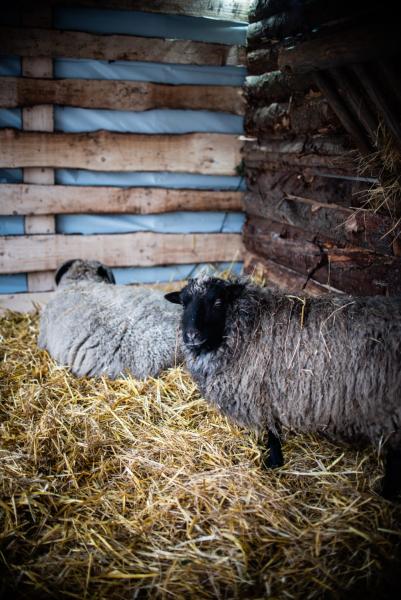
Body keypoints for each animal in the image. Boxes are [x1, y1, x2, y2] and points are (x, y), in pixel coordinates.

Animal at [165, 276, 400, 496]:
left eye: (218, 302)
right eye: (184, 303)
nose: (191, 335)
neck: (245, 325)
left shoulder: (264, 390)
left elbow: (272, 430)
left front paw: (274, 462)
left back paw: (387, 492)